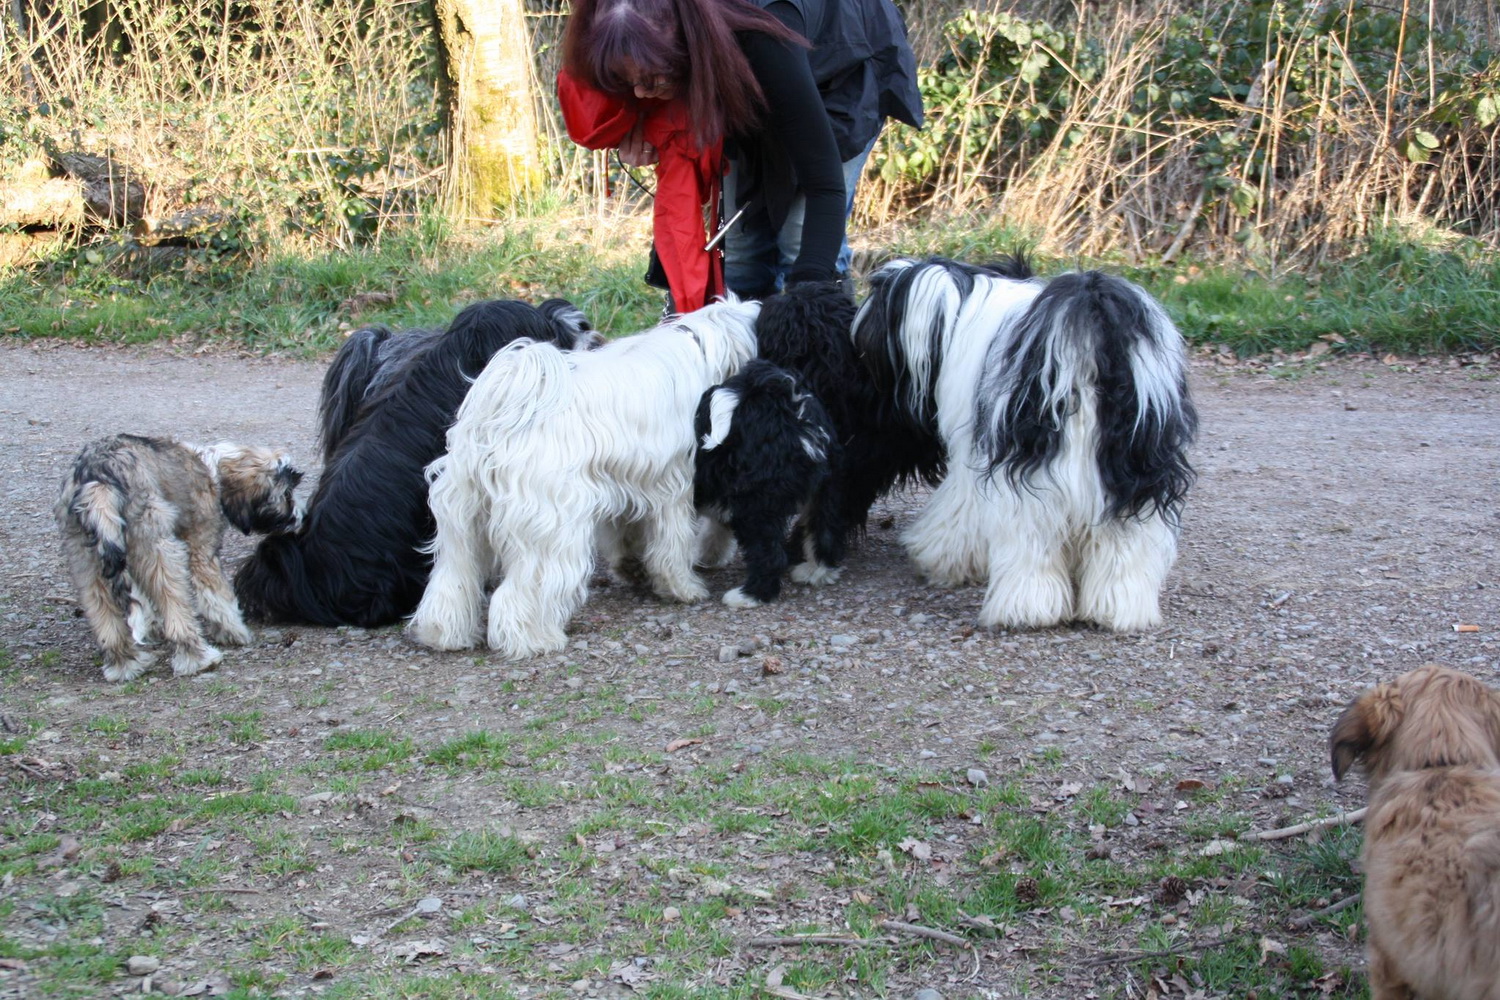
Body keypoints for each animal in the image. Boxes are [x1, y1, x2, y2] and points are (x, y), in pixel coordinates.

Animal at [55, 434, 303, 681]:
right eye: (287, 494)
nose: (301, 518)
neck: (213, 468)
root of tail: (97, 478)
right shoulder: (202, 550)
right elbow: (218, 598)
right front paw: (234, 631)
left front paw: (151, 626)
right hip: (160, 549)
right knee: (175, 608)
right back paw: (198, 659)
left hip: (86, 561)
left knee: (105, 616)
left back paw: (125, 665)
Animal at [408, 296, 760, 659]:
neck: (703, 346)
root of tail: (501, 413)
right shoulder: (672, 487)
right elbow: (671, 544)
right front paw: (683, 588)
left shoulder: (628, 480)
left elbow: (625, 533)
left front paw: (631, 568)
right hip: (550, 525)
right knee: (521, 591)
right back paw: (533, 640)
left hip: (462, 521)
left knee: (452, 579)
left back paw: (445, 635)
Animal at [693, 358, 842, 607]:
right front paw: (708, 554)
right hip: (824, 487)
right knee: (824, 528)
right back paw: (816, 572)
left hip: (755, 502)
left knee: (770, 555)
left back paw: (748, 596)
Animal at [852, 255, 1197, 632]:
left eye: (878, 299)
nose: (857, 329)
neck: (963, 302)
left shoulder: (973, 451)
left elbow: (958, 511)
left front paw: (940, 559)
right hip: (1133, 465)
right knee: (1126, 538)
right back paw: (1117, 609)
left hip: (1030, 472)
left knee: (1033, 540)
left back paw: (1027, 608)